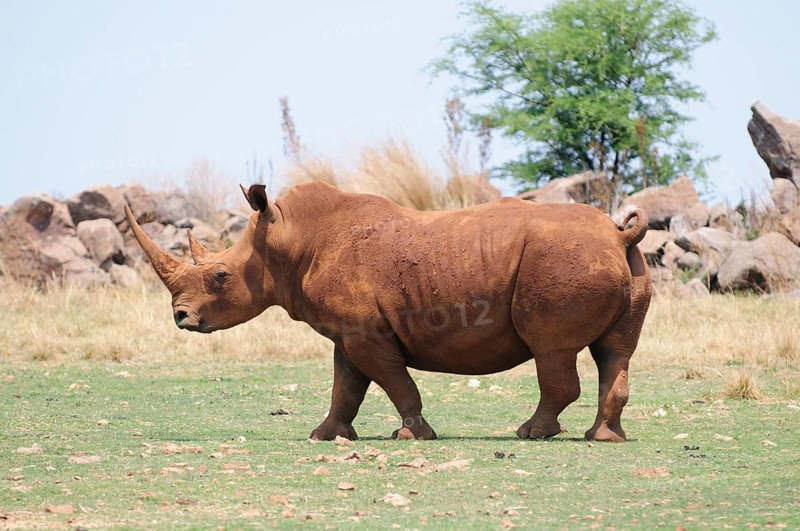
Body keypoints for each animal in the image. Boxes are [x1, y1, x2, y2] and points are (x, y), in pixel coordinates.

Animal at [125, 182, 651, 442]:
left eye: (220, 276)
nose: (181, 317)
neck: (286, 242)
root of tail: (619, 234)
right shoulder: (349, 332)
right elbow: (346, 386)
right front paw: (325, 436)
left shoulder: (365, 333)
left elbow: (393, 382)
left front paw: (412, 436)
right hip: (620, 263)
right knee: (615, 353)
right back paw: (603, 438)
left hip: (561, 260)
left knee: (551, 350)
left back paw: (530, 434)